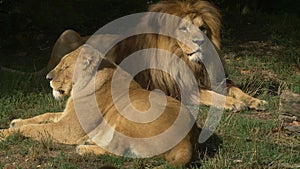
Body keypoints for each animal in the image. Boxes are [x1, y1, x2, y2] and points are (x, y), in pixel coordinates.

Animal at [2, 45, 200, 168]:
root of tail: (187, 140)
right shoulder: (66, 117)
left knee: (120, 151)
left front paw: (5, 133)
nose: (48, 78)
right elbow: (44, 115)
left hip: (129, 115)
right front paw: (15, 122)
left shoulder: (68, 129)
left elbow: (34, 128)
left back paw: (83, 149)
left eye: (65, 66)